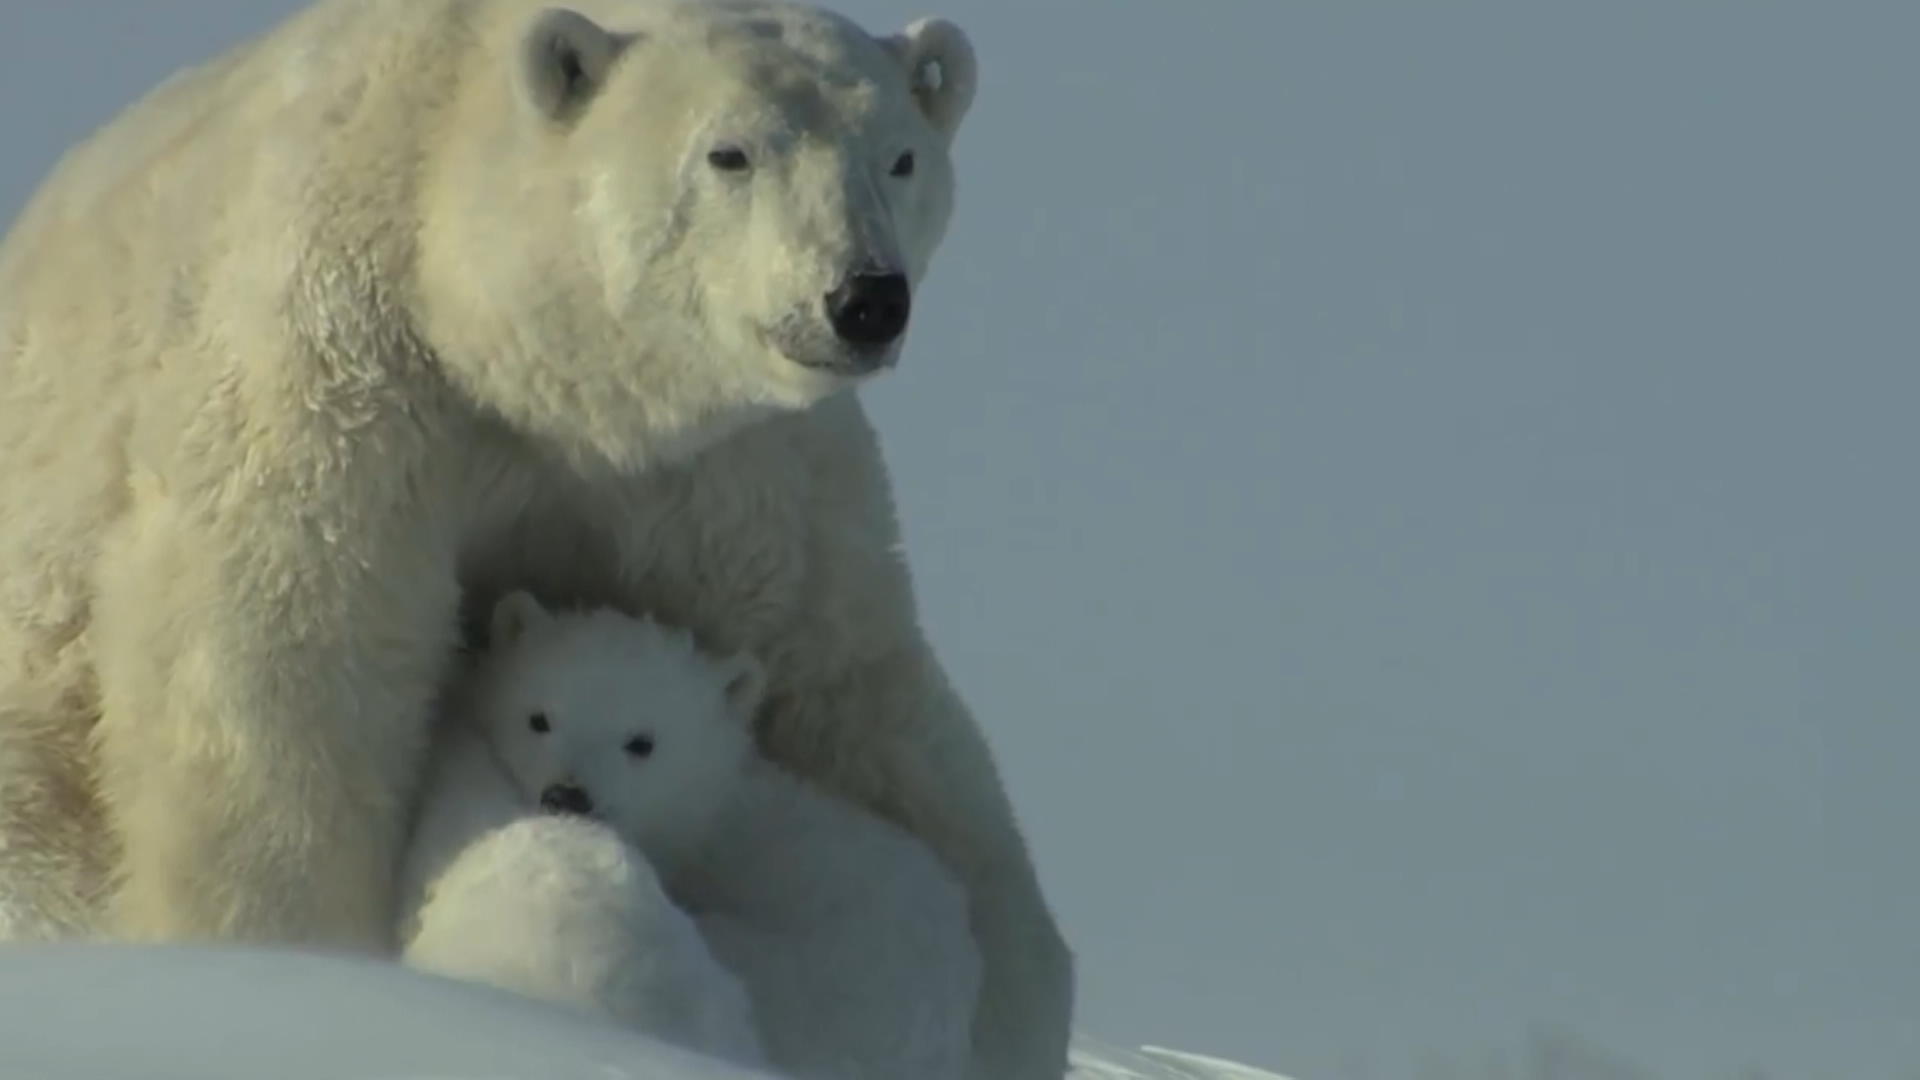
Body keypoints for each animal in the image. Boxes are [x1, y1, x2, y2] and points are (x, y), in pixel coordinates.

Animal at [0, 0, 1075, 1068]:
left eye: (900, 156)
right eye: (729, 152)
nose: (863, 298)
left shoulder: (724, 472)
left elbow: (844, 681)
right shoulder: (335, 368)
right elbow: (286, 668)